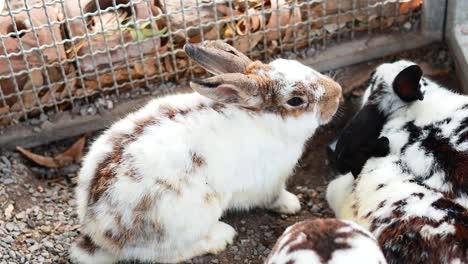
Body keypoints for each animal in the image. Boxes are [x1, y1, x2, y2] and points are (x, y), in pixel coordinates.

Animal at [71, 40, 342, 262]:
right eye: (296, 100)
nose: (337, 93)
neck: (261, 118)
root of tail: (97, 231)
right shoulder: (268, 184)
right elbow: (274, 197)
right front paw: (291, 204)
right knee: (168, 255)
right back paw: (221, 236)